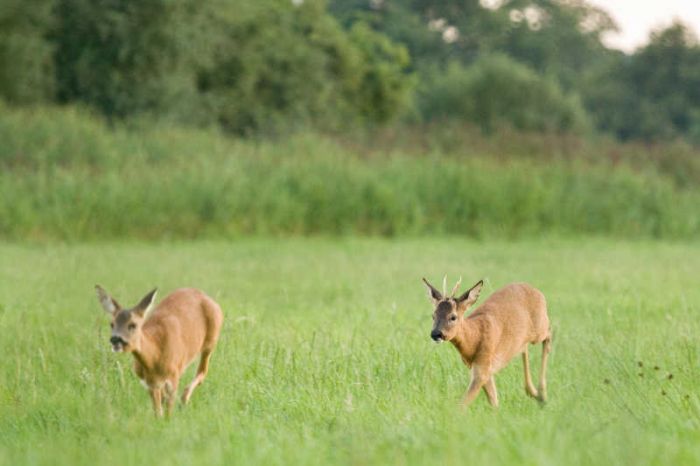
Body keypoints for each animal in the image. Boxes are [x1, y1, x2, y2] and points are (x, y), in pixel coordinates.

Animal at [96, 286, 224, 416]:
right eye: (112, 324)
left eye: (133, 325)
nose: (115, 339)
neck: (155, 356)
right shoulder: (150, 383)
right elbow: (158, 412)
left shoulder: (173, 376)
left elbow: (168, 412)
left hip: (211, 341)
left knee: (202, 372)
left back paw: (183, 401)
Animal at [422, 276, 552, 408]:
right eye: (433, 315)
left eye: (453, 317)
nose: (436, 333)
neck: (475, 337)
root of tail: (537, 291)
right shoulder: (484, 370)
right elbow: (494, 401)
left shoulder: (482, 367)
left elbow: (462, 404)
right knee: (524, 347)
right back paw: (533, 392)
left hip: (539, 328)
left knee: (548, 334)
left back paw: (542, 395)